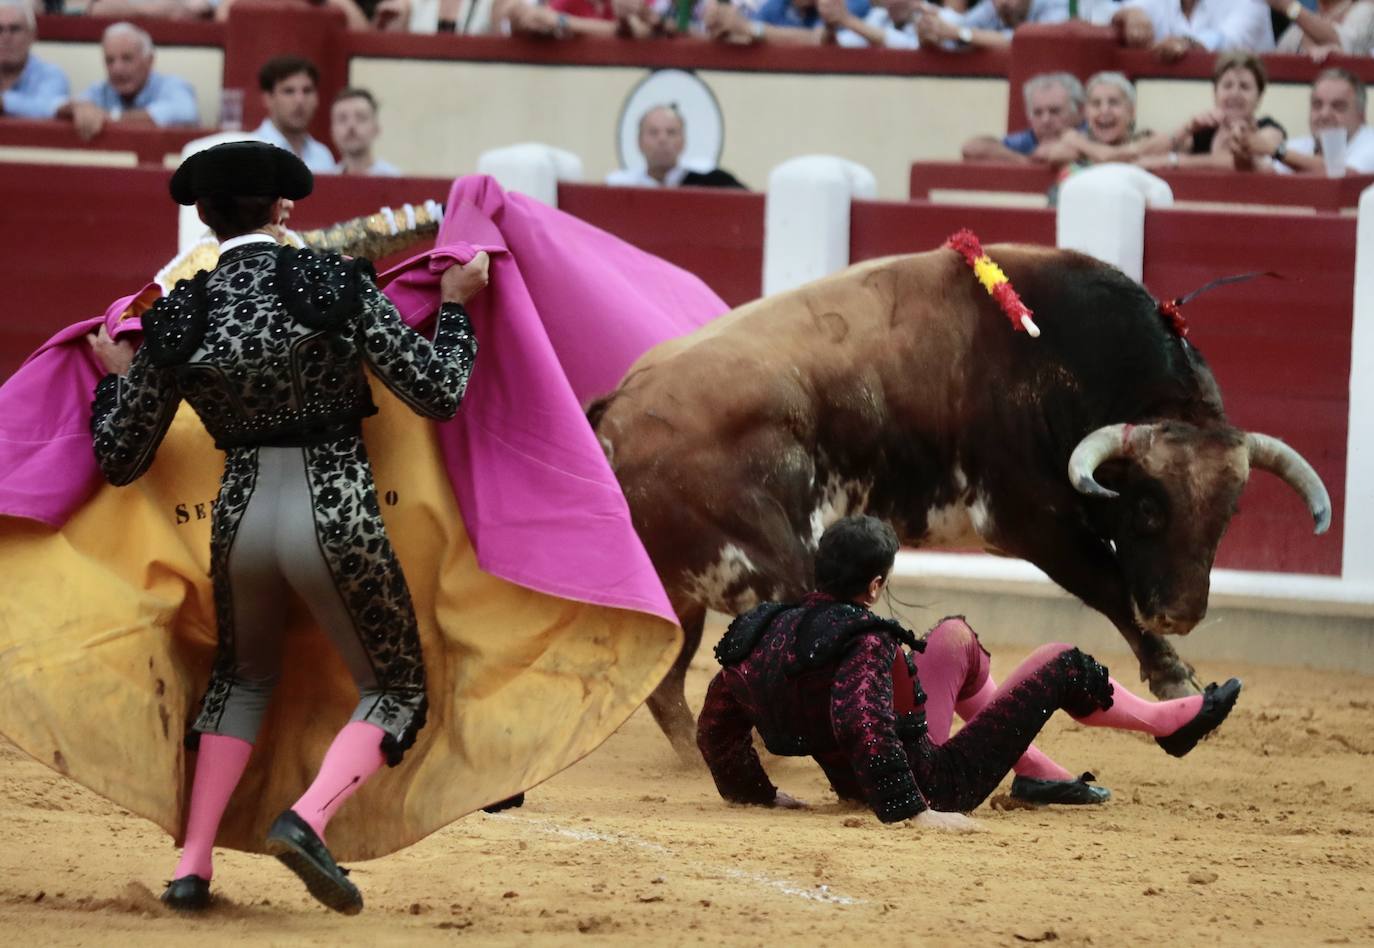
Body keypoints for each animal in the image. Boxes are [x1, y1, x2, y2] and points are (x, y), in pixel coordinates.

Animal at [590, 243, 1330, 758]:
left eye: (1231, 512)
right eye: (1149, 507)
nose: (1181, 612)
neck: (1065, 360)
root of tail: (619, 406)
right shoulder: (1031, 519)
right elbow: (1110, 586)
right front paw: (1177, 681)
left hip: (683, 583)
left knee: (662, 679)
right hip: (768, 560)